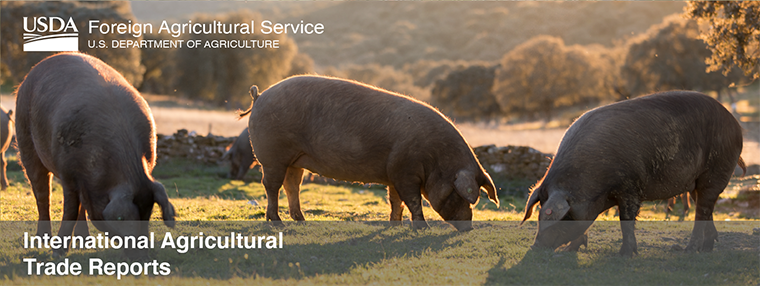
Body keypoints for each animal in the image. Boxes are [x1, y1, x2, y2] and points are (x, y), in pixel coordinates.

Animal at [14, 52, 175, 256]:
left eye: (148, 215)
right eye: (128, 220)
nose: (144, 258)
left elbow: (79, 207)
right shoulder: (68, 173)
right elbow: (70, 211)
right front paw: (57, 253)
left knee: (79, 205)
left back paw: (85, 242)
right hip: (25, 139)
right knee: (42, 193)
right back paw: (42, 240)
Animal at [238, 75, 498, 230]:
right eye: (459, 194)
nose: (469, 227)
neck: (435, 159)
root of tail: (259, 96)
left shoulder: (394, 172)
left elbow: (395, 201)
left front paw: (395, 226)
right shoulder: (405, 171)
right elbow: (412, 200)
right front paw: (421, 228)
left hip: (295, 160)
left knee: (292, 186)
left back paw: (302, 222)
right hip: (272, 156)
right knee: (271, 186)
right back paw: (277, 223)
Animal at [520, 90, 744, 256]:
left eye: (561, 218)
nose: (535, 247)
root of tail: (735, 124)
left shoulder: (630, 187)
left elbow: (626, 220)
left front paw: (626, 254)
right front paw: (569, 250)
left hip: (716, 169)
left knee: (703, 208)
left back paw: (689, 250)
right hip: (696, 182)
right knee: (704, 207)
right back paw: (706, 248)